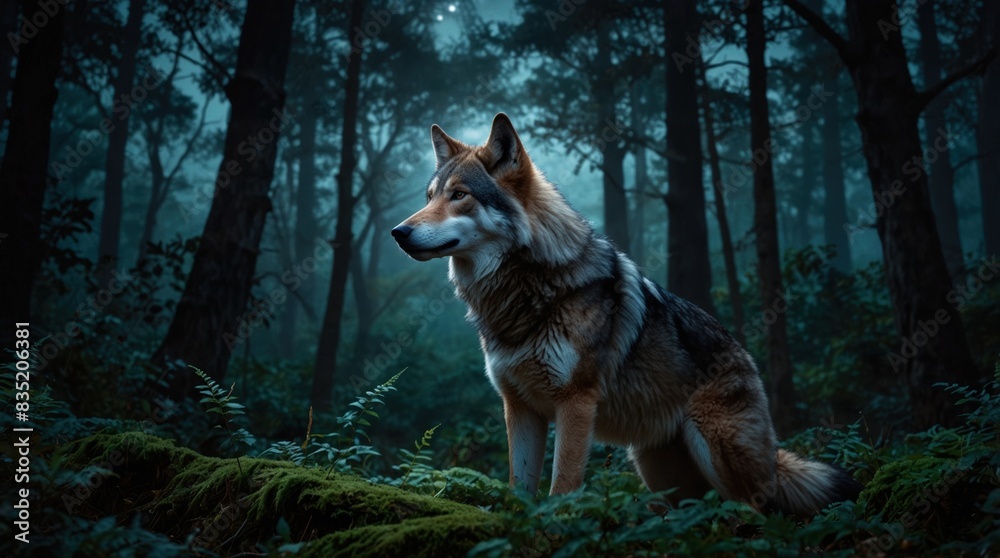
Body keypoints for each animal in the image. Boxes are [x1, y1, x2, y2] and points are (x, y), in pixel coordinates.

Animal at [391, 113, 860, 514]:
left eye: (459, 195)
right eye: (430, 197)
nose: (398, 232)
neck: (525, 291)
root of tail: (746, 356)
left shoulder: (575, 404)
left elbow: (562, 489)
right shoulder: (520, 408)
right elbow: (518, 490)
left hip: (714, 447)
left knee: (758, 512)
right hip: (657, 471)